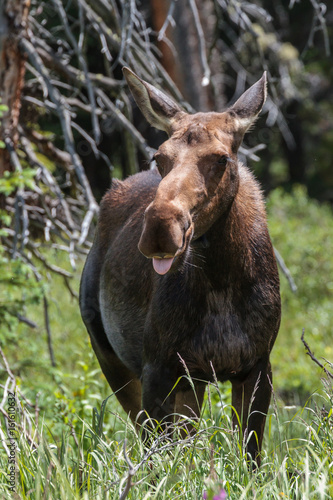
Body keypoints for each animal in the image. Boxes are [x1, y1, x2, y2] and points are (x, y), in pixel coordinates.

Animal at [79, 68, 278, 466]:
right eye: (159, 156)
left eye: (221, 158)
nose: (160, 227)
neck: (222, 281)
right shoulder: (158, 367)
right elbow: (163, 463)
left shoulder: (256, 364)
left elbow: (250, 457)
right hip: (110, 354)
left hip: (191, 382)